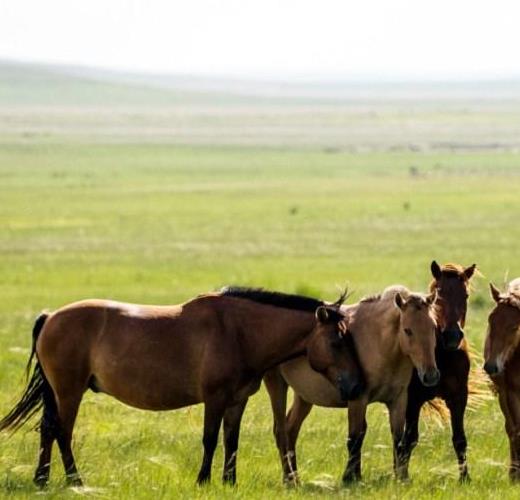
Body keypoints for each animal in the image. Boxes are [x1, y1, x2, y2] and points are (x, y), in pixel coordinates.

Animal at [0, 288, 364, 486]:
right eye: (336, 342)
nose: (355, 385)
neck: (238, 331)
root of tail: (51, 317)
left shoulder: (237, 401)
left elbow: (231, 441)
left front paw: (229, 482)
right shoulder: (215, 398)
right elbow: (210, 439)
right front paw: (204, 480)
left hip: (56, 393)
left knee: (48, 429)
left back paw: (42, 479)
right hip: (69, 391)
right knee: (62, 432)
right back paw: (75, 480)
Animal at [264, 286, 438, 484]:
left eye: (433, 327)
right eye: (407, 330)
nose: (430, 376)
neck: (379, 342)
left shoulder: (398, 400)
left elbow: (398, 439)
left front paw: (401, 477)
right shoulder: (357, 399)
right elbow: (355, 437)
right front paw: (350, 477)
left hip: (304, 397)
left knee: (291, 429)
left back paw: (296, 477)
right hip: (276, 385)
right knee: (280, 431)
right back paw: (288, 479)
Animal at [400, 260, 478, 482]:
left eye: (465, 295)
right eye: (439, 293)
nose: (452, 336)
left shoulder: (459, 397)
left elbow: (459, 439)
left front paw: (465, 478)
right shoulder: (413, 400)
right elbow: (409, 439)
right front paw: (402, 477)